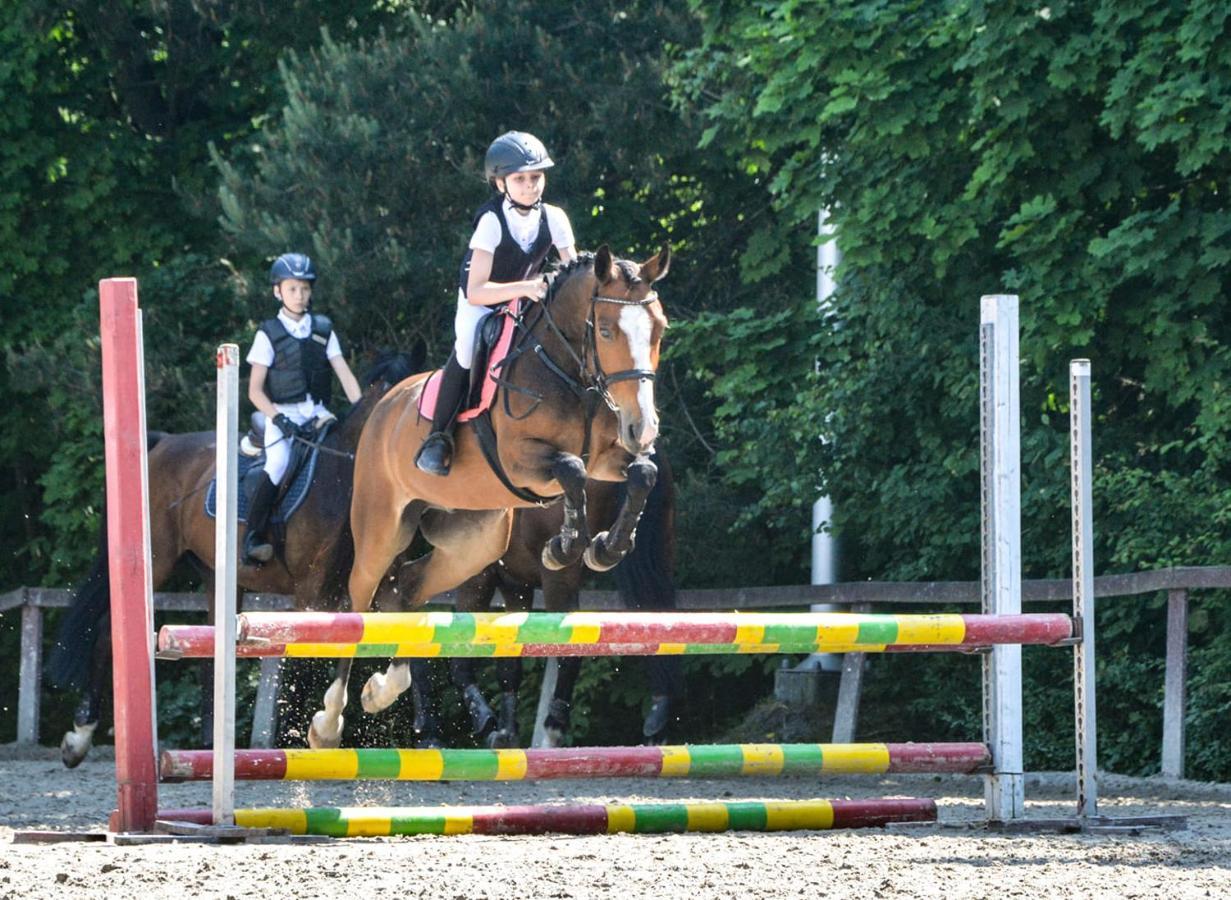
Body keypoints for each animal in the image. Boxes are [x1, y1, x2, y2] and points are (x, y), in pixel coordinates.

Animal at [46, 349, 418, 768]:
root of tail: (164, 443)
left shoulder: (377, 582)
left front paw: (376, 694)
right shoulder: (314, 594)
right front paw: (319, 731)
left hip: (215, 575)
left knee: (211, 652)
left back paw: (209, 746)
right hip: (157, 559)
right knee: (108, 632)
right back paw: (79, 737)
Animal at [423, 448, 684, 748]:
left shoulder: (477, 580)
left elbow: (461, 662)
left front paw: (485, 718)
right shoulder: (516, 586)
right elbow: (510, 663)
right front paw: (506, 730)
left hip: (557, 578)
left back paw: (554, 724)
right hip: (661, 554)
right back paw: (659, 718)